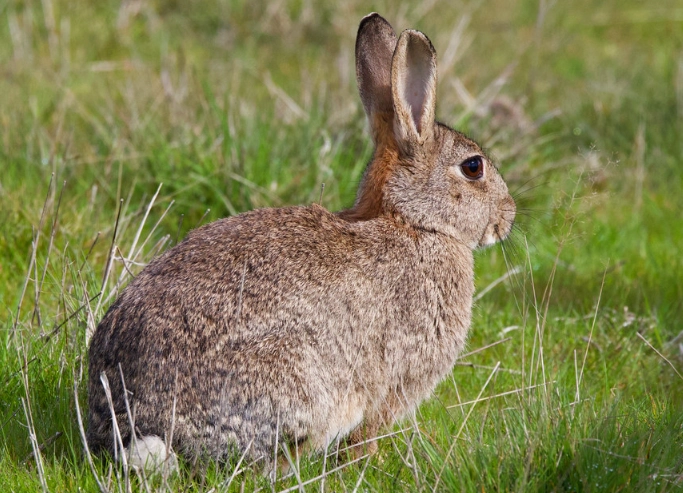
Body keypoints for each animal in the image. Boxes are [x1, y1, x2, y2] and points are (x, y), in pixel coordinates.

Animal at [86, 12, 516, 472]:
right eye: (473, 167)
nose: (509, 216)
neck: (415, 222)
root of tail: (135, 422)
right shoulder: (394, 380)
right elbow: (369, 432)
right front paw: (373, 461)